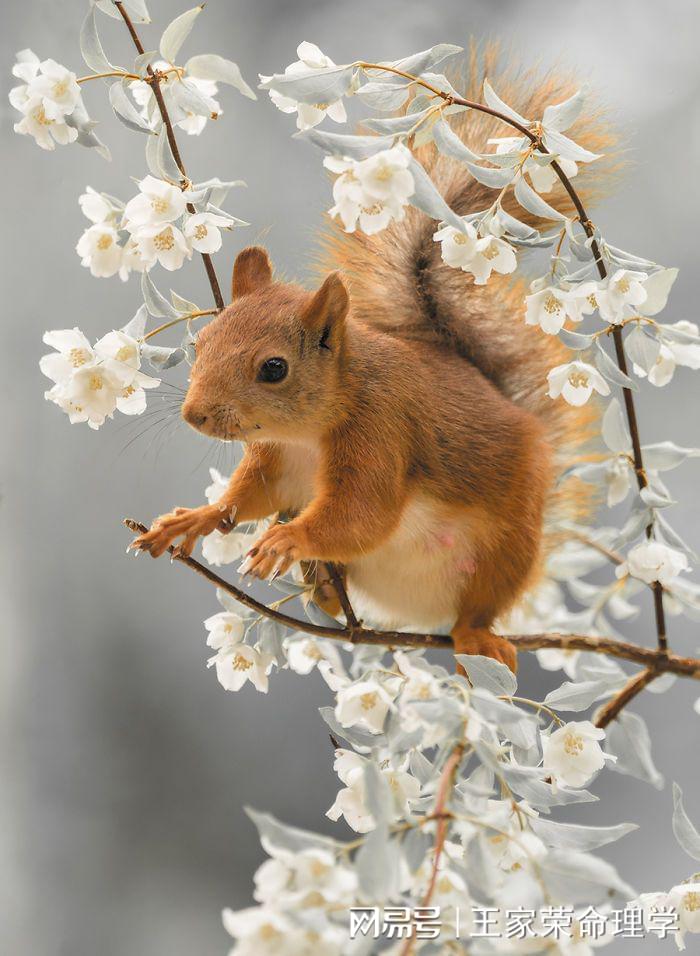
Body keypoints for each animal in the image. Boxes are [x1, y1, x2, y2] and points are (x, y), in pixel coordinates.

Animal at [133, 61, 612, 672]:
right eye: (201, 344)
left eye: (274, 369)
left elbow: (363, 515)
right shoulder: (274, 461)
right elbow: (247, 498)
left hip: (507, 550)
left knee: (479, 605)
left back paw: (476, 637)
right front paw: (194, 518)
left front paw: (289, 539)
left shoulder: (382, 432)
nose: (194, 415)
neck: (306, 434)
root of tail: (417, 614)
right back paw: (324, 589)